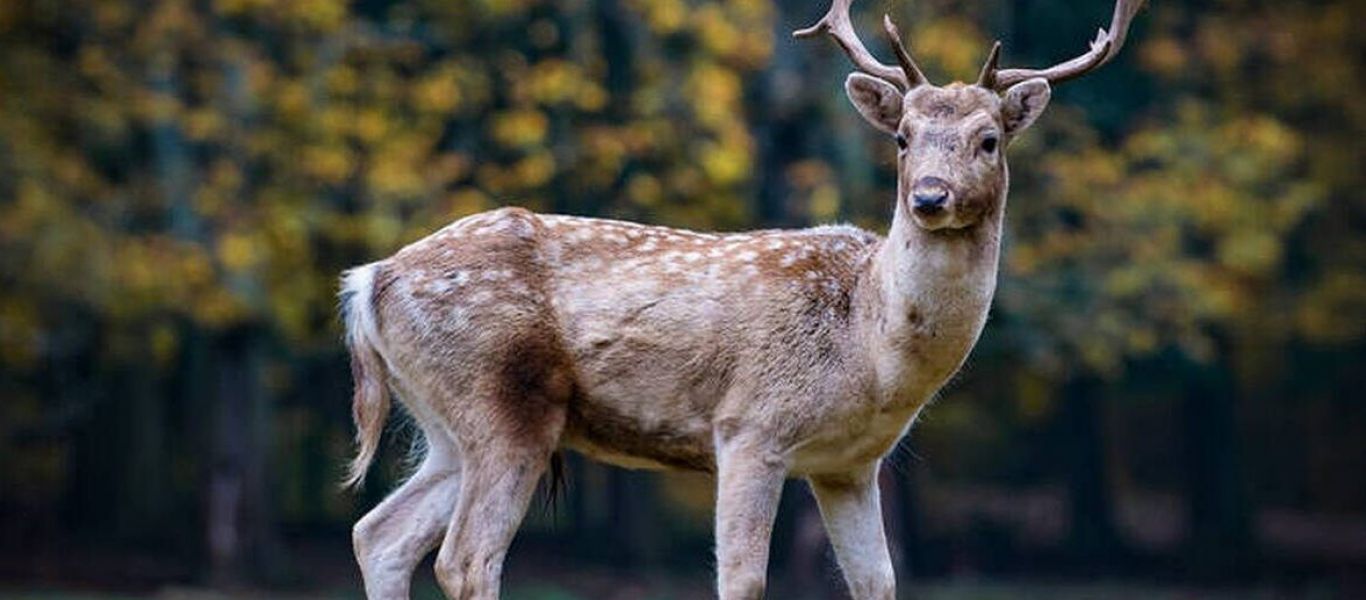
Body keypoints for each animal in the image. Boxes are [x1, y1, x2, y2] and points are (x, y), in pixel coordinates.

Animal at [338, 0, 1141, 598]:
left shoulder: (850, 464)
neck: (871, 348)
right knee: (465, 559)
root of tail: (369, 279)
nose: (930, 197)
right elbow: (744, 580)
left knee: (379, 533)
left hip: (446, 423)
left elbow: (878, 582)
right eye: (904, 138)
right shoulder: (750, 426)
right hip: (504, 400)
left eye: (989, 140)